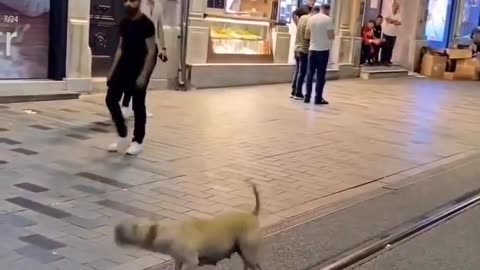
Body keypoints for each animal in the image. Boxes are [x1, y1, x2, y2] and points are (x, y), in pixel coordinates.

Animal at [114, 185, 262, 268]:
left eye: (134, 227)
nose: (116, 228)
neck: (166, 232)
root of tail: (252, 214)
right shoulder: (178, 261)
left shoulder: (191, 262)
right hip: (243, 252)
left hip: (248, 252)